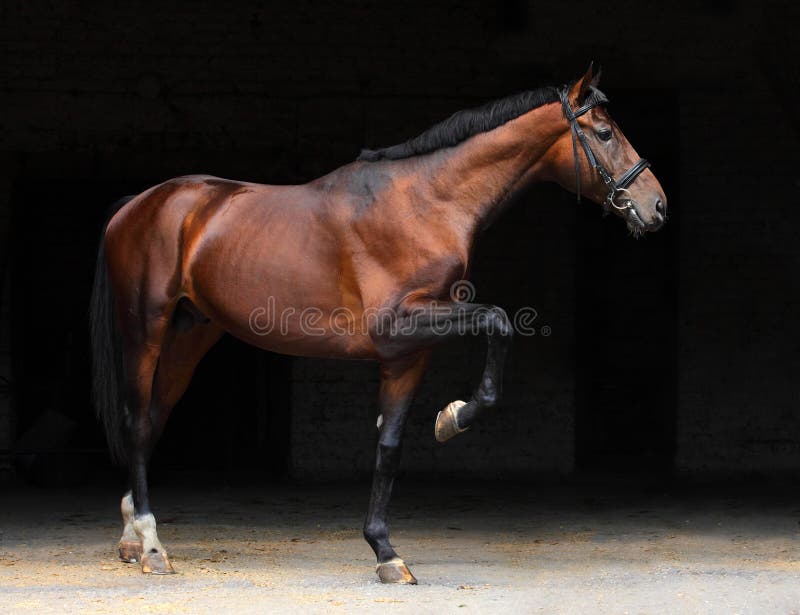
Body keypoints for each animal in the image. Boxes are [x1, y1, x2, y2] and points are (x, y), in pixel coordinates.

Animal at [87, 65, 664, 584]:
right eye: (605, 133)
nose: (656, 205)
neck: (425, 203)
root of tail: (138, 205)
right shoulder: (399, 327)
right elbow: (499, 322)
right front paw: (455, 417)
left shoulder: (408, 351)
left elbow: (389, 446)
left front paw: (386, 551)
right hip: (145, 332)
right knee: (137, 421)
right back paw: (153, 547)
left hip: (189, 338)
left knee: (153, 420)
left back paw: (132, 539)